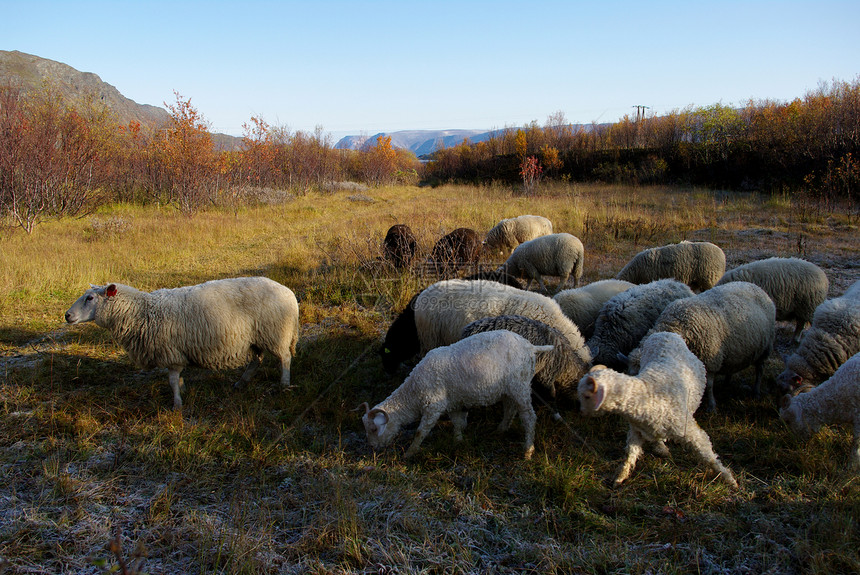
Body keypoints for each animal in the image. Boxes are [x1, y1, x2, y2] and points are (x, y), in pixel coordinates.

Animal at [63, 278, 298, 410]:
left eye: (90, 298)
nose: (67, 315)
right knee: (256, 360)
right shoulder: (175, 351)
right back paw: (241, 383)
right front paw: (183, 391)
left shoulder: (171, 353)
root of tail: (289, 293)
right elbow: (178, 379)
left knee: (285, 358)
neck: (142, 312)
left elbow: (172, 380)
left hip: (275, 333)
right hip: (256, 338)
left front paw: (177, 404)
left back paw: (284, 383)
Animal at [360, 330, 556, 462]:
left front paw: (410, 453)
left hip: (520, 386)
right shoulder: (452, 403)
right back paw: (500, 430)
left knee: (529, 417)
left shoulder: (433, 406)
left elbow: (420, 431)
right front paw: (458, 442)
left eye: (374, 429)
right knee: (510, 409)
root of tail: (530, 346)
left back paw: (528, 450)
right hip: (509, 388)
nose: (372, 448)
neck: (414, 390)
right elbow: (457, 423)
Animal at [576, 330, 740, 488]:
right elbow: (630, 454)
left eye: (587, 396)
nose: (581, 412)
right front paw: (620, 477)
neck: (647, 393)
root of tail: (664, 333)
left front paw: (729, 479)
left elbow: (708, 456)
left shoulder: (689, 431)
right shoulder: (637, 431)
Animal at [632, 282, 780, 412]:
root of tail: (756, 287)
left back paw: (756, 391)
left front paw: (711, 406)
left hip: (766, 346)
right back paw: (727, 383)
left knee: (760, 369)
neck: (678, 326)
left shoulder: (710, 361)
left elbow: (708, 386)